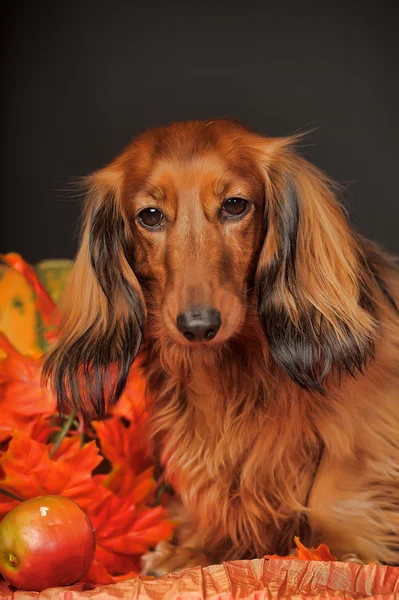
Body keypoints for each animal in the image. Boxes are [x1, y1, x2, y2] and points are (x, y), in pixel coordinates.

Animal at [42, 118, 398, 572]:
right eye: (150, 216)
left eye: (234, 205)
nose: (198, 326)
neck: (236, 367)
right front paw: (194, 549)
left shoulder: (365, 420)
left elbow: (333, 489)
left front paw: (336, 551)